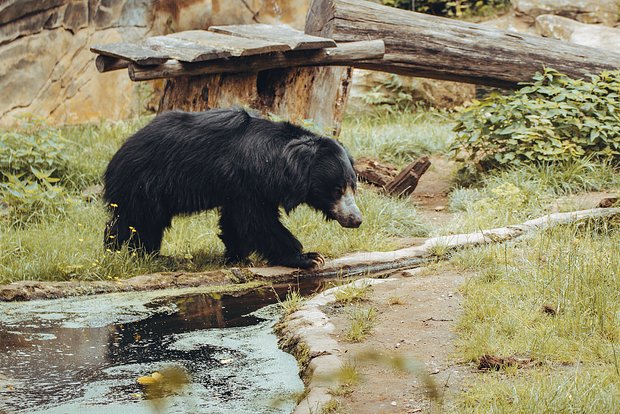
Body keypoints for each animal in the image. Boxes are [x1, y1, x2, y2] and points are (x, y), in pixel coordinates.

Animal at [102, 107, 364, 268]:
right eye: (337, 189)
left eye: (353, 186)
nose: (356, 219)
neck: (278, 165)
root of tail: (118, 154)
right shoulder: (246, 181)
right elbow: (257, 221)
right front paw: (309, 257)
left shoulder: (248, 188)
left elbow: (235, 222)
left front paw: (238, 257)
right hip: (144, 185)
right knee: (137, 223)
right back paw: (132, 254)